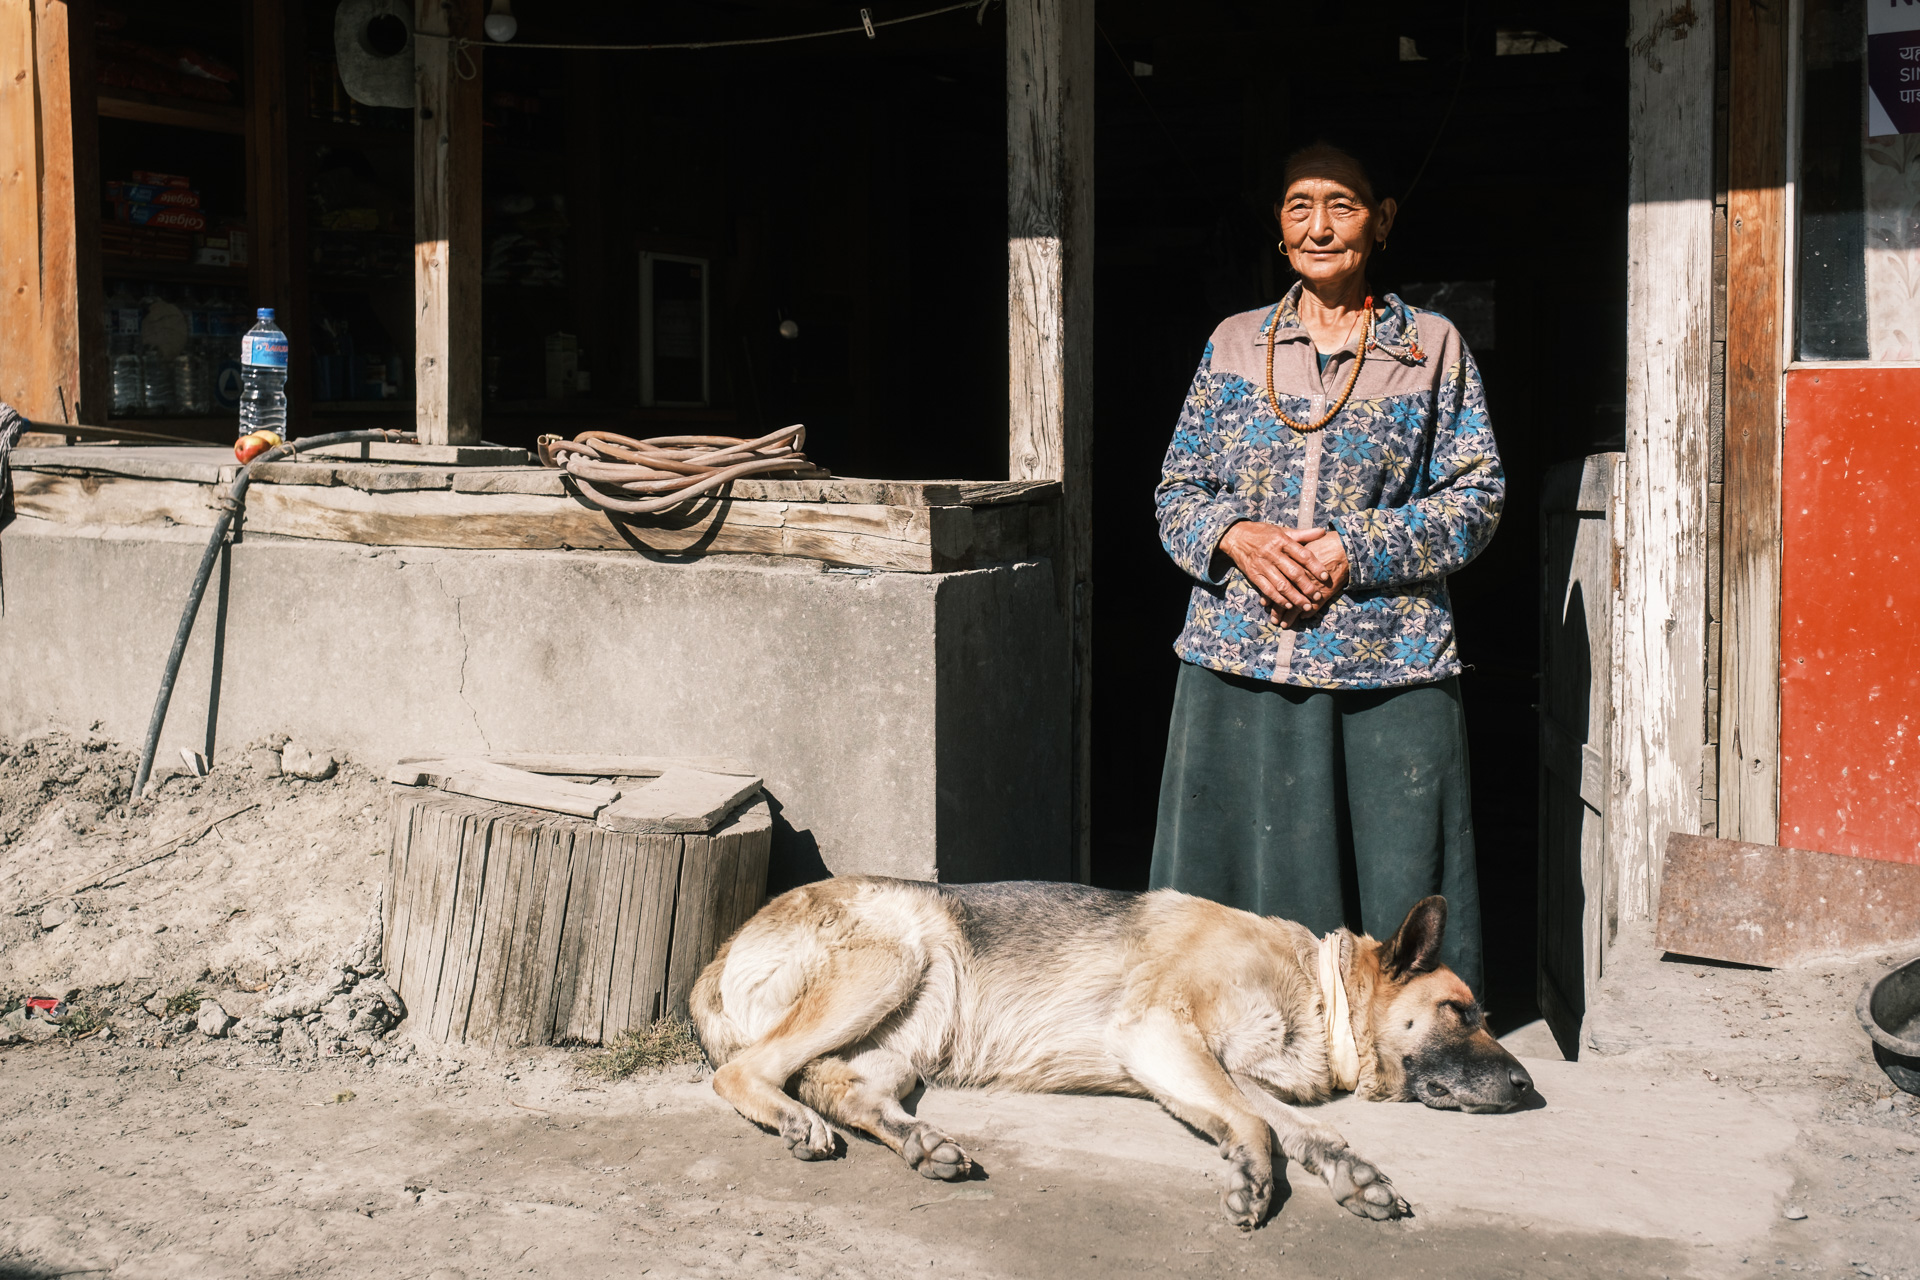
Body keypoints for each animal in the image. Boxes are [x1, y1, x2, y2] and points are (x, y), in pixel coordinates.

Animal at [691, 875, 1528, 1228]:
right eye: (1459, 1012)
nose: (1528, 1088)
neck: (1317, 987)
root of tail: (725, 945)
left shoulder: (1222, 1069)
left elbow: (1305, 1128)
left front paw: (1352, 1173)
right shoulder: (1162, 1038)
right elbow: (1259, 1125)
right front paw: (1253, 1178)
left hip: (906, 1041)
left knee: (840, 1088)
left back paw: (923, 1142)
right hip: (892, 962)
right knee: (746, 1071)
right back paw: (793, 1122)